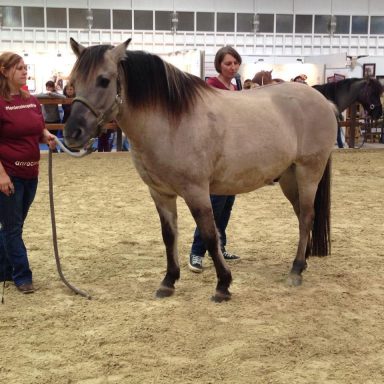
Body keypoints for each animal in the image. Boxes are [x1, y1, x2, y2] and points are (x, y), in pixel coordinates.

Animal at [64, 39, 338, 304]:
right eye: (73, 82)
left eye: (104, 80)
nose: (72, 133)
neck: (171, 122)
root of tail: (323, 100)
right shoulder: (160, 193)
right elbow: (169, 235)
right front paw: (168, 282)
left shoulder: (196, 191)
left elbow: (209, 235)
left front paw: (223, 285)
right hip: (289, 178)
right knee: (302, 216)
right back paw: (302, 263)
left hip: (308, 172)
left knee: (306, 216)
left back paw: (296, 270)